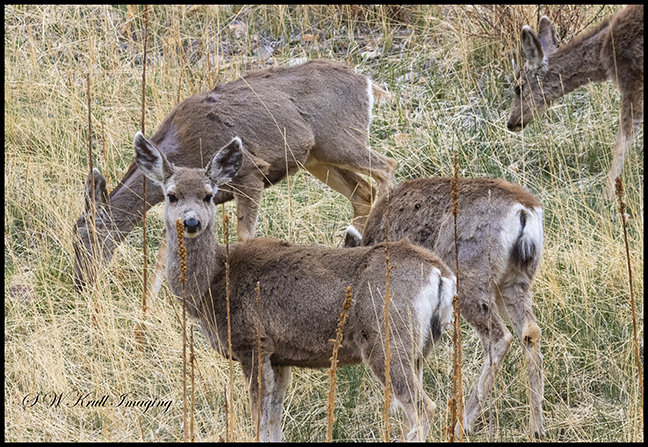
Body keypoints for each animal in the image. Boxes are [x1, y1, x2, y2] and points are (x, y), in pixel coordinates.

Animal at [73, 59, 397, 294]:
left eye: (84, 238)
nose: (80, 283)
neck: (184, 148)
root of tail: (368, 84)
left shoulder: (250, 173)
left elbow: (244, 238)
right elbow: (163, 256)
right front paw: (148, 313)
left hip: (341, 140)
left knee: (387, 167)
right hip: (317, 158)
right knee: (362, 191)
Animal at [132, 130, 456, 442]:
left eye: (209, 196)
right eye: (171, 195)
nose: (191, 222)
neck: (213, 284)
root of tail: (440, 273)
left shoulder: (253, 342)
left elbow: (260, 418)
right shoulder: (280, 355)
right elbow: (274, 419)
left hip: (387, 336)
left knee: (423, 408)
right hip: (420, 347)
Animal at [344, 177, 545, 439]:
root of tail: (524, 210)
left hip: (469, 275)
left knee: (500, 337)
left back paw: (463, 425)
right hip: (515, 280)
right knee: (530, 331)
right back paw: (537, 426)